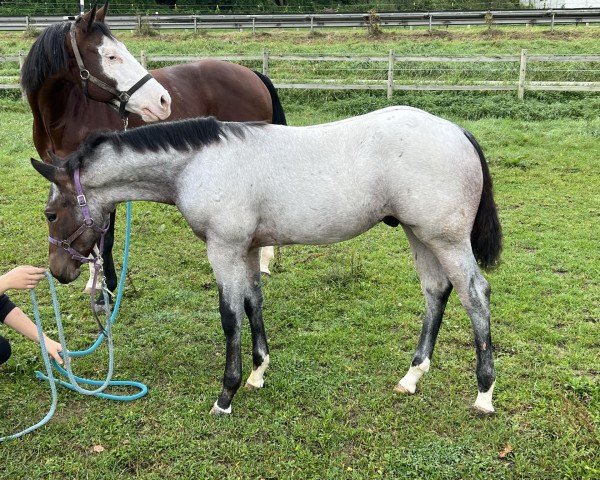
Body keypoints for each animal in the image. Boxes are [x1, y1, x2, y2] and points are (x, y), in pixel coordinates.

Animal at [21, 1, 286, 294]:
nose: (162, 100)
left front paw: (109, 286)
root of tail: (252, 74)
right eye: (111, 56)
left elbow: (105, 236)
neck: (69, 114)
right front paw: (94, 281)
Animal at [31, 107, 502, 414]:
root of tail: (457, 131)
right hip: (418, 234)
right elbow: (253, 303)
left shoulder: (223, 248)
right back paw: (412, 377)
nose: (58, 271)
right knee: (436, 291)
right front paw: (258, 372)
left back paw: (483, 394)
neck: (200, 163)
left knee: (474, 295)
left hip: (445, 239)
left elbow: (230, 316)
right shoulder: (250, 248)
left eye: (51, 213)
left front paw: (226, 395)